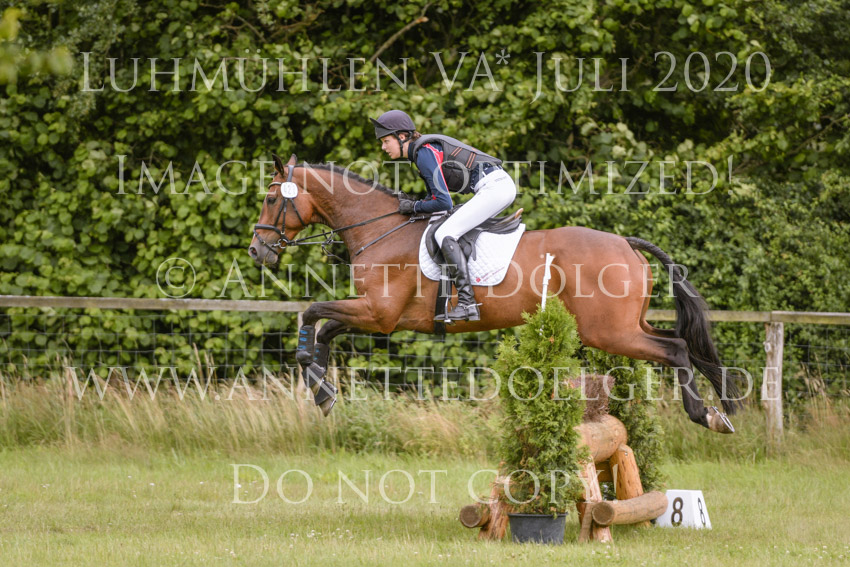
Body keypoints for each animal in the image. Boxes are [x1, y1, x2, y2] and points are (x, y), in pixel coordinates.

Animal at [248, 154, 741, 433]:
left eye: (272, 199)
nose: (257, 250)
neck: (379, 229)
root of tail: (626, 242)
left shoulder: (379, 314)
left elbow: (313, 314)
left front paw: (315, 376)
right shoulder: (380, 316)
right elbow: (325, 328)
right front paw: (322, 390)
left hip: (609, 332)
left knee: (677, 349)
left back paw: (707, 416)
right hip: (625, 325)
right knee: (681, 344)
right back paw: (722, 406)